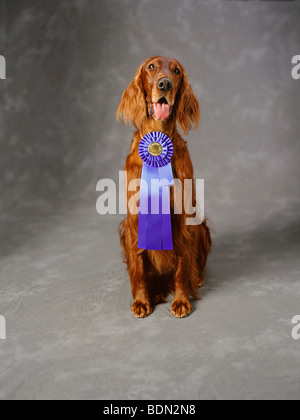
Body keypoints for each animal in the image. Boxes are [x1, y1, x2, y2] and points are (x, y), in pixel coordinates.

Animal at [117, 55, 211, 318]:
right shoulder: (135, 219)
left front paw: (181, 300)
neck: (157, 140)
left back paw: (195, 280)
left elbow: (182, 266)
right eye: (151, 67)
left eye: (176, 71)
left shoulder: (182, 217)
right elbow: (139, 268)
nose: (165, 84)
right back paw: (156, 291)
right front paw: (141, 300)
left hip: (200, 227)